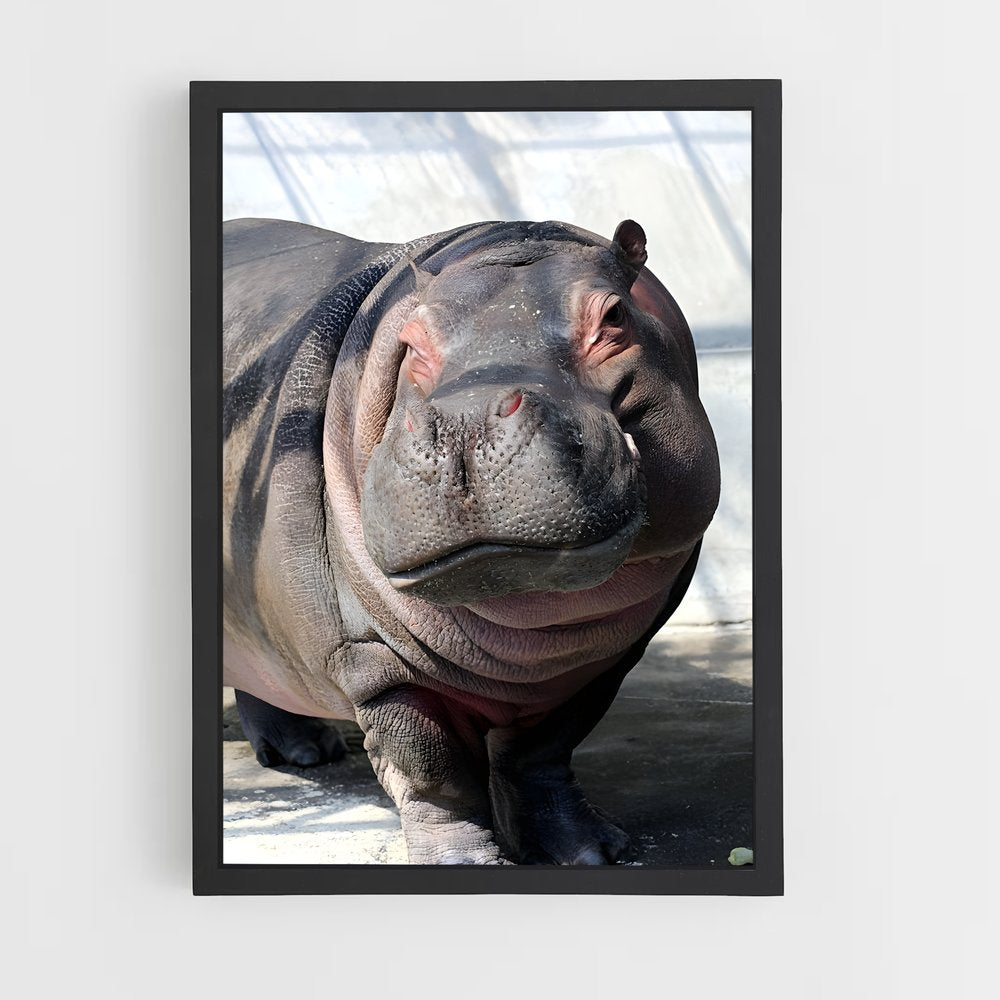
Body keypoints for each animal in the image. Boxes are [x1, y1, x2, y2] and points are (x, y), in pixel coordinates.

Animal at [222, 217, 720, 865]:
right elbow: (435, 773)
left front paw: (592, 851)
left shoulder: (603, 659)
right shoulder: (375, 661)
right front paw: (464, 861)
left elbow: (543, 752)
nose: (466, 419)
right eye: (411, 338)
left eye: (614, 317)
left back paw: (305, 752)